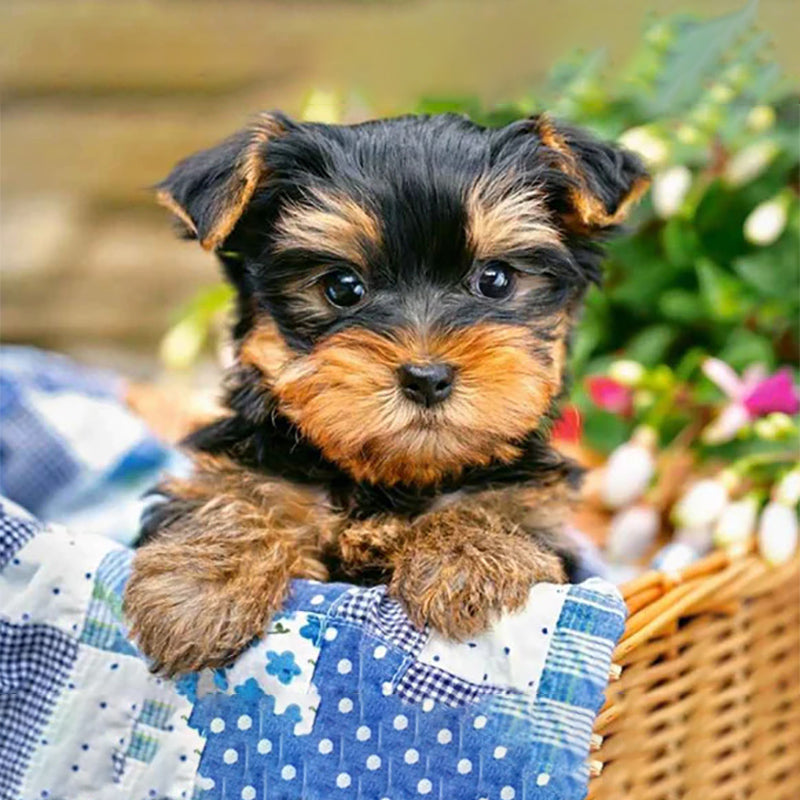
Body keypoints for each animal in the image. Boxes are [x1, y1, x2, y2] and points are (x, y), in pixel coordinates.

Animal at [126, 111, 648, 676]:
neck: (393, 478)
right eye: (342, 287)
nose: (426, 376)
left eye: (495, 279)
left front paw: (468, 559)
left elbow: (494, 505)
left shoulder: (539, 512)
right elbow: (233, 493)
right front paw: (199, 590)